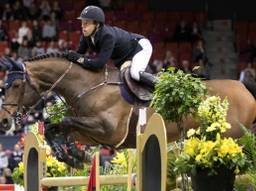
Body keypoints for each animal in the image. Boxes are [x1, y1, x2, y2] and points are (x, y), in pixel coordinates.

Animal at [0, 52, 255, 149]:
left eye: (16, 86)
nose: (4, 121)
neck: (88, 87)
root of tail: (244, 87)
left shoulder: (109, 131)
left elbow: (63, 122)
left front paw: (71, 155)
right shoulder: (90, 135)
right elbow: (57, 127)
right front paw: (72, 155)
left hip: (232, 136)